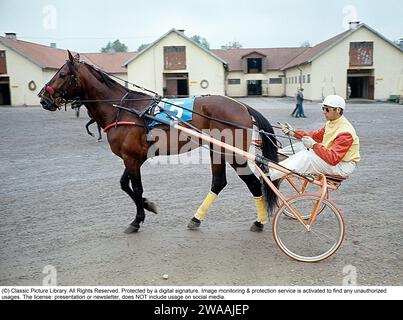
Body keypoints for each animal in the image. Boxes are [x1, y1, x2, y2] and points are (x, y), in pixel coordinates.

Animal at [39, 51, 280, 234]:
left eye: (62, 74)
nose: (43, 98)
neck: (124, 108)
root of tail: (242, 106)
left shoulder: (132, 158)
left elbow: (136, 188)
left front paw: (137, 219)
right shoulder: (133, 157)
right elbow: (124, 184)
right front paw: (148, 205)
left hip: (233, 154)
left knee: (254, 183)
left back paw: (259, 221)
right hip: (217, 150)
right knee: (219, 182)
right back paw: (196, 218)